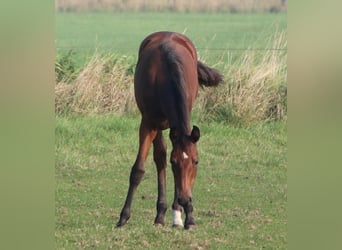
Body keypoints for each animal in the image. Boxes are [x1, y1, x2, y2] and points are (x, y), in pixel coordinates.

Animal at [115, 30, 222, 229]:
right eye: (175, 162)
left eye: (196, 162)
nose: (185, 200)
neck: (165, 76)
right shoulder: (148, 123)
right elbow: (139, 169)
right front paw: (123, 217)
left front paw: (188, 217)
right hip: (158, 126)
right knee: (160, 157)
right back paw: (160, 214)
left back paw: (173, 214)